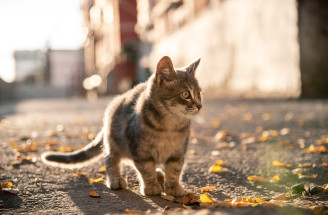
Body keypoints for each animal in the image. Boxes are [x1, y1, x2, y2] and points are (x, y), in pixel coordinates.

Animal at [41, 56, 202, 197]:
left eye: (199, 94)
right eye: (186, 94)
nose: (200, 105)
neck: (168, 127)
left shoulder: (179, 152)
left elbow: (174, 169)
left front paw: (173, 186)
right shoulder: (139, 149)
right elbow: (146, 169)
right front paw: (151, 186)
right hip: (114, 143)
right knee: (110, 160)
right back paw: (116, 179)